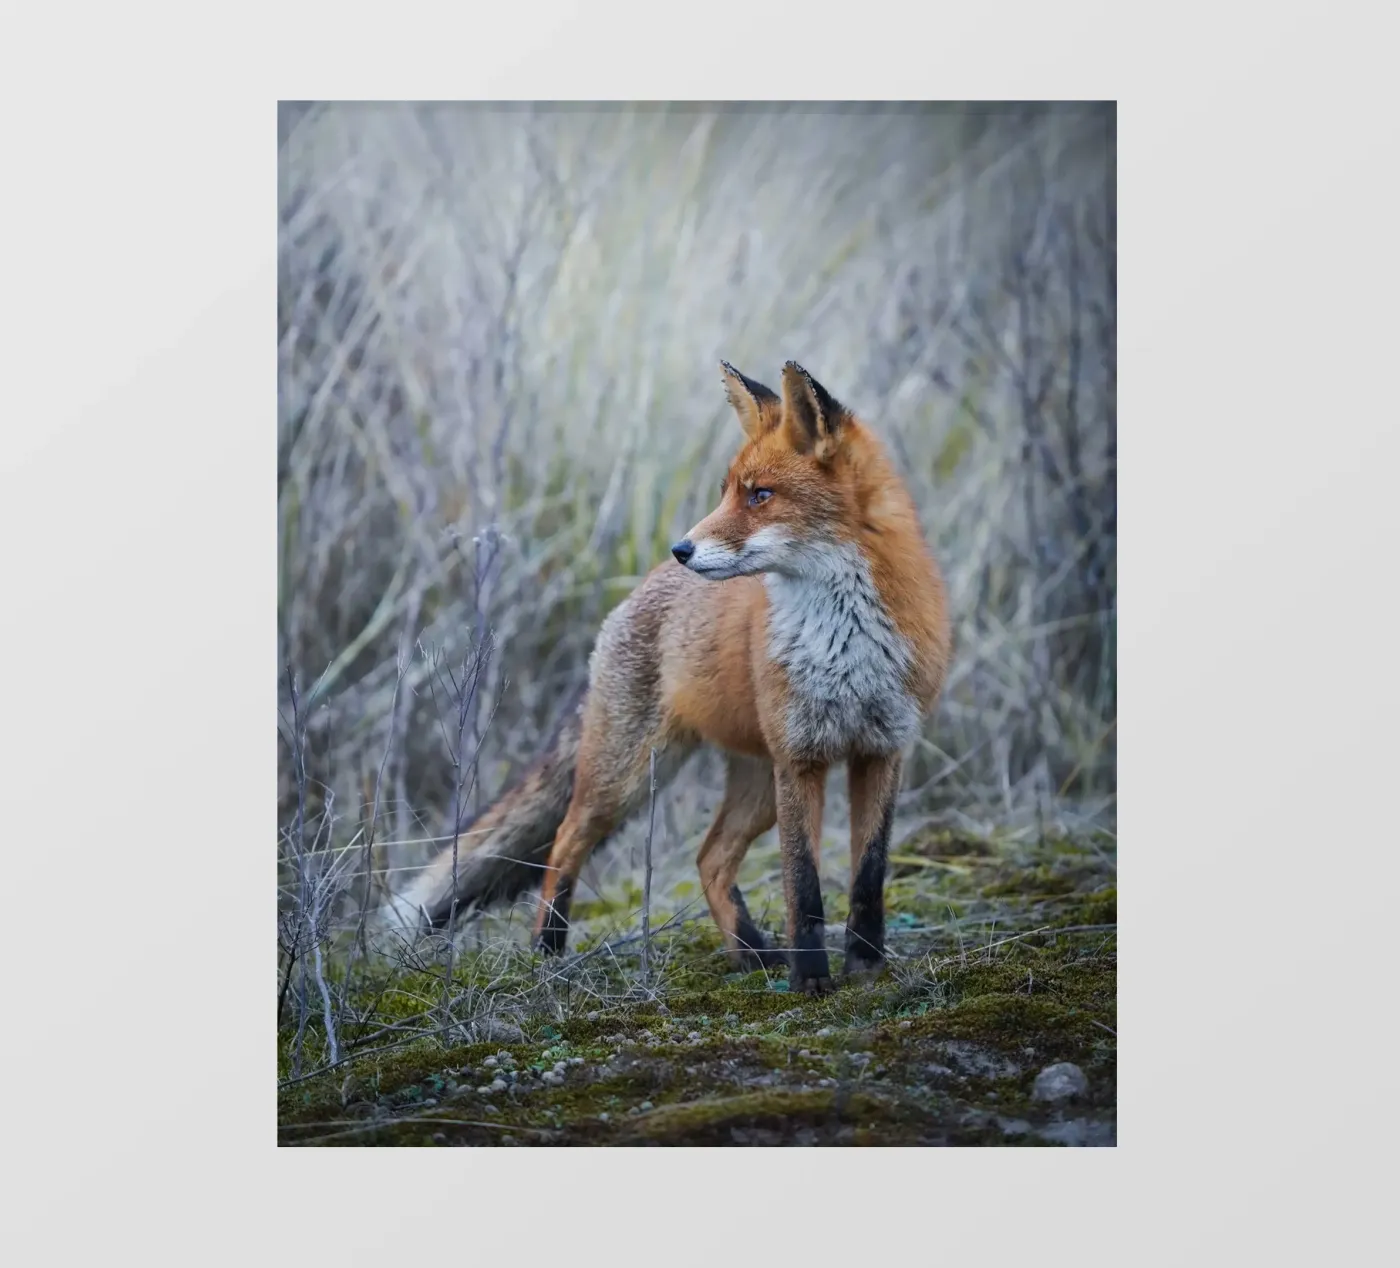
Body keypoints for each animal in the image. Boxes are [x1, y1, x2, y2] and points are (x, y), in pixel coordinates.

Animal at [388, 361, 951, 993]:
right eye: (728, 491)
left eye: (760, 495)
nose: (682, 547)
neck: (844, 642)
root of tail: (639, 589)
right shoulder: (801, 758)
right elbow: (803, 887)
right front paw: (811, 982)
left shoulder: (882, 750)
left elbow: (868, 877)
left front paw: (867, 968)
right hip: (628, 777)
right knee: (564, 843)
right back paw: (548, 952)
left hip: (756, 786)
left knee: (709, 858)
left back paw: (751, 954)